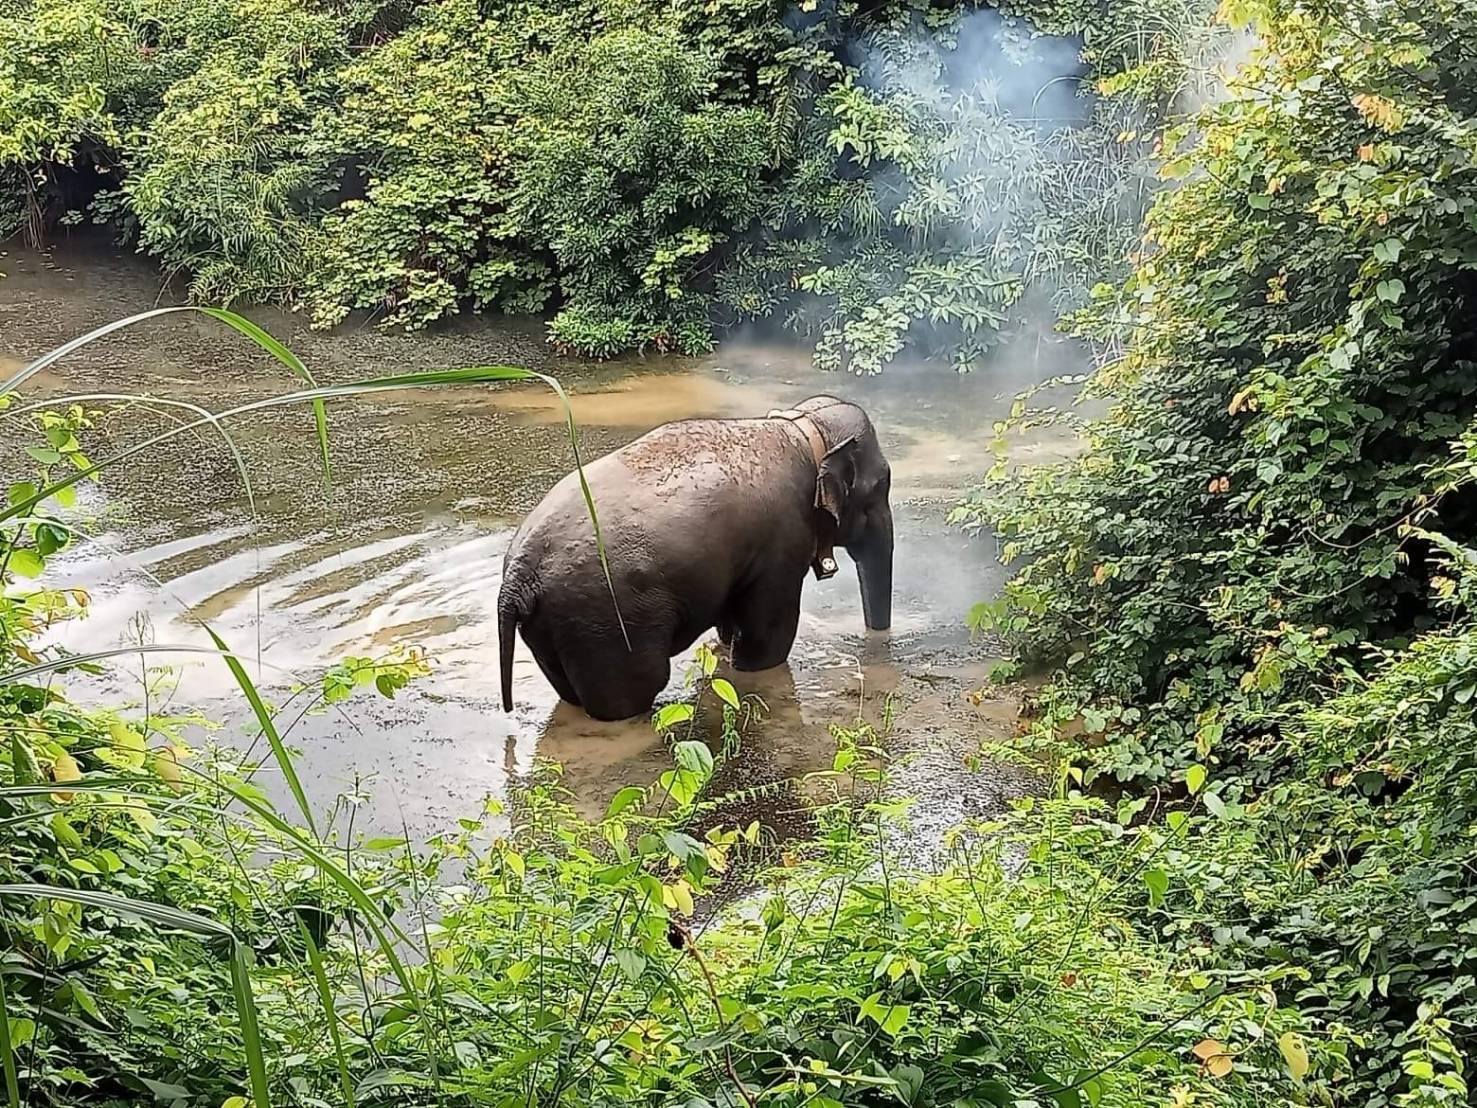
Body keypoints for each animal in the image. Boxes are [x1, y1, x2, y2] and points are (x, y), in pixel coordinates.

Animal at [498, 394, 894, 721]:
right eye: (882, 485)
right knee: (636, 689)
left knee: (569, 692)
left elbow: (732, 625)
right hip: (602, 620)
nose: (876, 640)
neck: (803, 428)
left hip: (555, 627)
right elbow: (766, 640)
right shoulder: (782, 543)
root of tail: (518, 574)